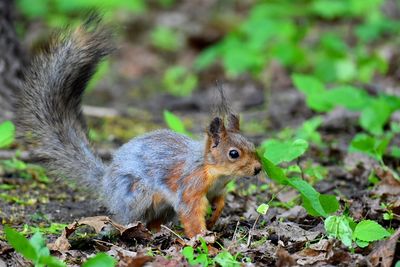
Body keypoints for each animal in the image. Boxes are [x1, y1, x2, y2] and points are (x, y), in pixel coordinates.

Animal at [16, 16, 262, 239]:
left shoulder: (216, 190)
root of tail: (106, 184)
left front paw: (214, 217)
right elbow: (190, 213)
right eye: (233, 154)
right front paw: (204, 239)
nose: (258, 169)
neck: (211, 168)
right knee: (127, 219)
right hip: (137, 195)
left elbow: (220, 202)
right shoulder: (190, 186)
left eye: (252, 145)